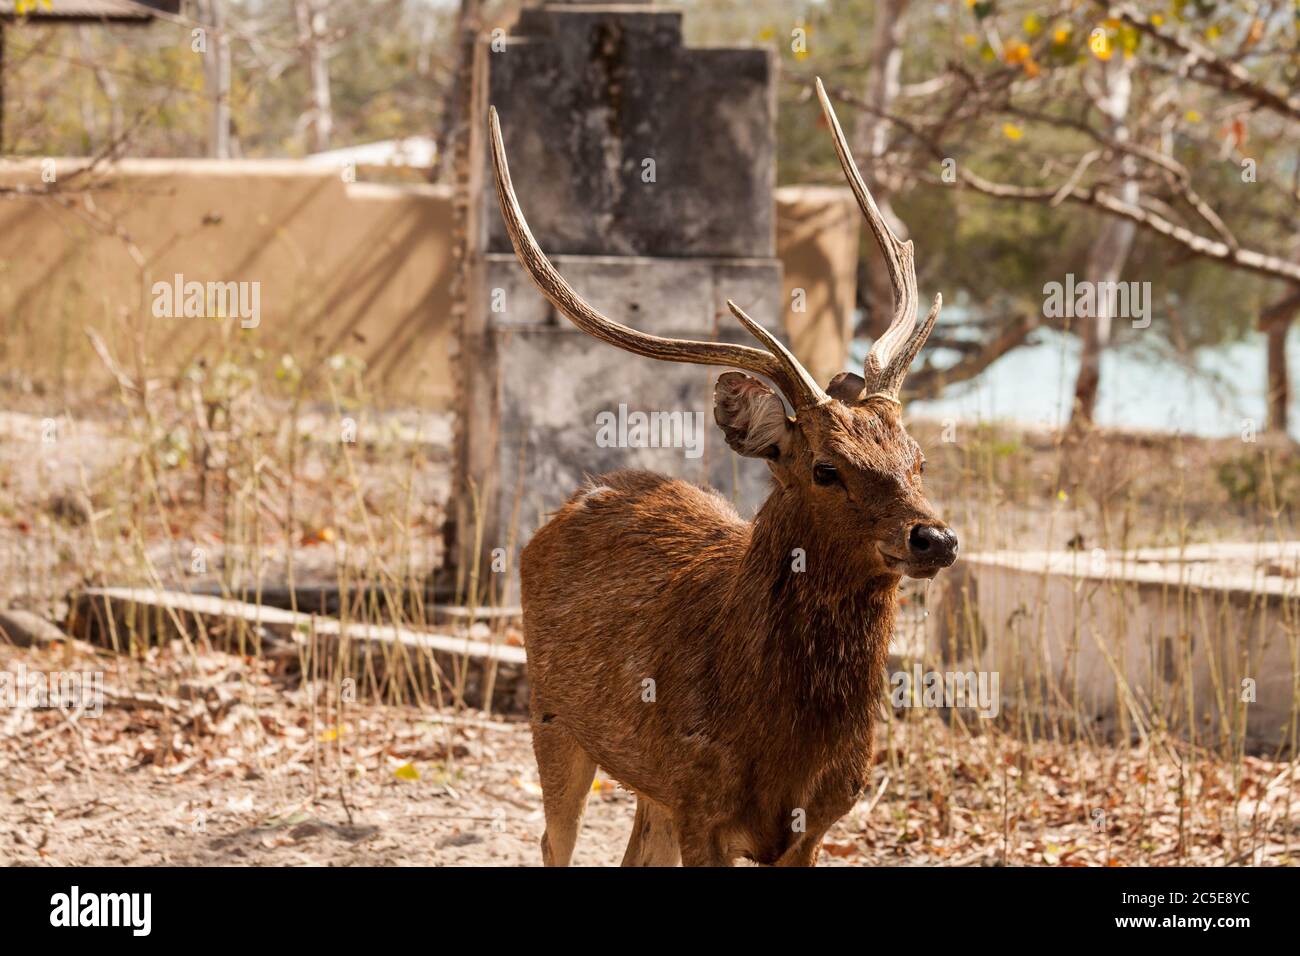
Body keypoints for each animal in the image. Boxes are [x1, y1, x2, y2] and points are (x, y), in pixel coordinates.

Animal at [488, 78, 956, 868]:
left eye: (917, 457)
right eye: (826, 469)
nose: (934, 538)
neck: (782, 746)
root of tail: (571, 502)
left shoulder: (816, 819)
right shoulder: (701, 799)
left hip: (647, 782)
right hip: (553, 718)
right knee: (554, 840)